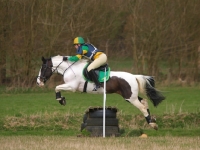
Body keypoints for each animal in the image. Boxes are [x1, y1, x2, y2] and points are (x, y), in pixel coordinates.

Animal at [36, 55, 165, 130]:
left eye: (43, 68)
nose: (39, 82)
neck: (70, 69)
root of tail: (134, 76)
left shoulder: (72, 86)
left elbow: (57, 87)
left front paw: (61, 100)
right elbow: (57, 88)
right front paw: (61, 99)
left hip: (130, 98)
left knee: (142, 107)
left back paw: (152, 124)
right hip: (130, 96)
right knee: (144, 102)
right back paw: (152, 121)